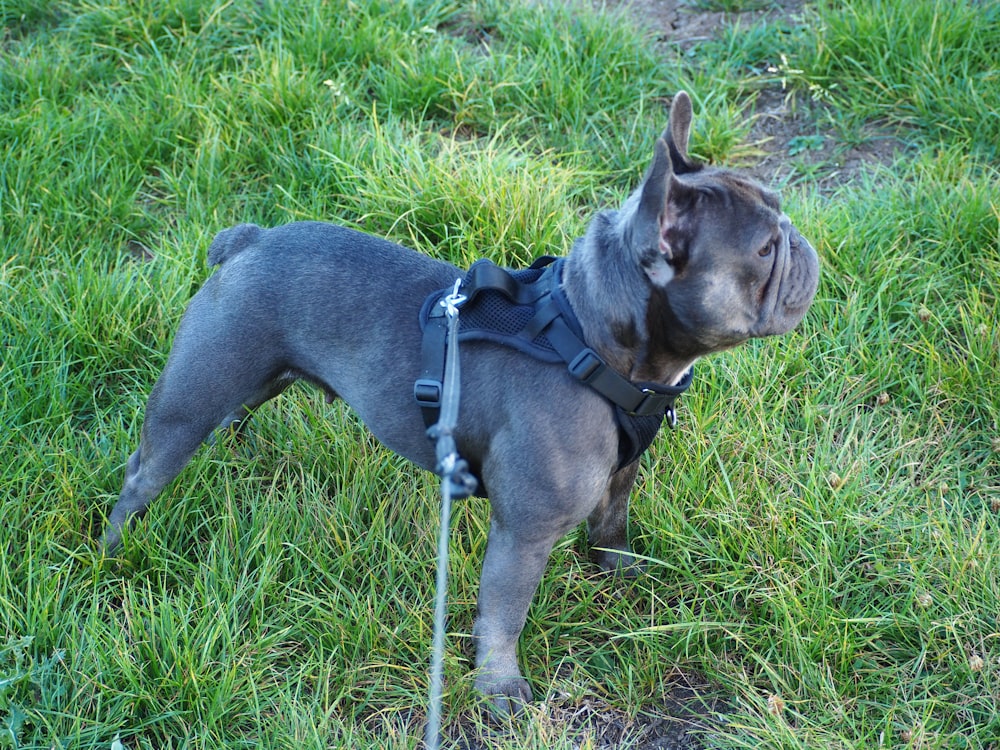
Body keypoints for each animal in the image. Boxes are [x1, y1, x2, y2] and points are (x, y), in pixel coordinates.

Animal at [101, 92, 820, 716]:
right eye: (763, 248)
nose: (800, 239)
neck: (587, 343)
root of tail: (247, 242)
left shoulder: (620, 474)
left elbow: (611, 524)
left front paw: (620, 572)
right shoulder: (524, 532)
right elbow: (504, 610)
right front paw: (499, 689)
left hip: (256, 376)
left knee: (234, 414)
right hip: (192, 396)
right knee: (142, 475)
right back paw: (114, 553)